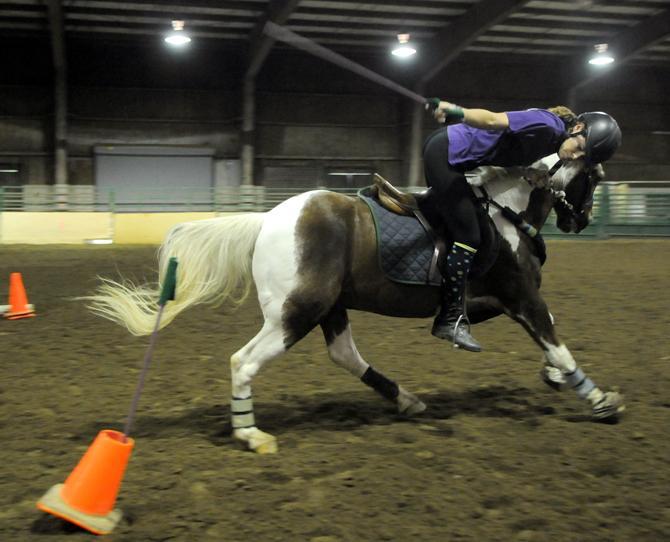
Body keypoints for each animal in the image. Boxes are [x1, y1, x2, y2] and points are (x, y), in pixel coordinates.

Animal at [86, 154, 628, 454]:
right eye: (596, 175)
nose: (581, 219)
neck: (503, 212)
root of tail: (268, 220)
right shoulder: (519, 295)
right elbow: (556, 340)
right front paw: (600, 400)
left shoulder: (496, 302)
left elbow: (549, 334)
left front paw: (555, 378)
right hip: (296, 312)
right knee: (243, 361)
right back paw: (251, 435)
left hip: (328, 308)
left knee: (344, 355)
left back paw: (405, 399)